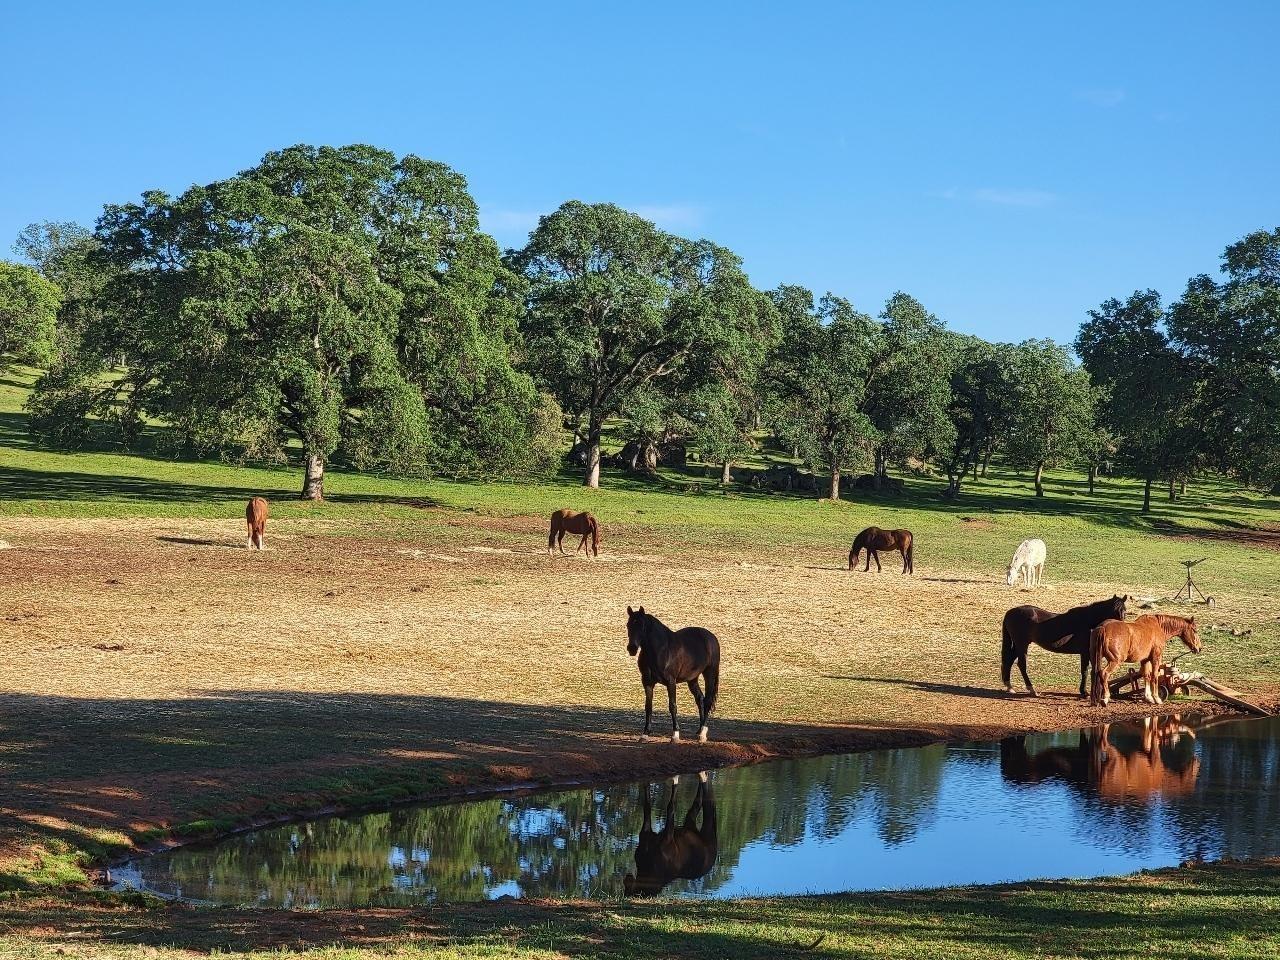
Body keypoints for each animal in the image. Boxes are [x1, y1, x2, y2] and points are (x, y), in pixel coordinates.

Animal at [622, 773, 721, 901]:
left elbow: (670, 807)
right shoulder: (647, 833)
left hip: (706, 829)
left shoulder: (668, 837)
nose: (626, 878)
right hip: (691, 822)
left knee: (705, 798)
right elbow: (648, 806)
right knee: (698, 801)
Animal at [627, 609, 721, 742]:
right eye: (628, 625)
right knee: (700, 699)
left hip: (710, 673)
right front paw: (645, 734)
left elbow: (672, 706)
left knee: (707, 701)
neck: (660, 650)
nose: (632, 648)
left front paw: (675, 734)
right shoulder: (647, 682)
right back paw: (699, 731)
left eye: (642, 626)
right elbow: (648, 707)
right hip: (692, 679)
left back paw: (702, 733)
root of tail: (711, 637)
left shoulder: (671, 682)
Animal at [998, 593, 1131, 701]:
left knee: (1009, 661)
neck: (1088, 622)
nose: (1121, 626)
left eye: (1125, 610)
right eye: (1114, 610)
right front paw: (1085, 693)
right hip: (1022, 645)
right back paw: (1032, 689)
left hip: (1019, 645)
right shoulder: (1085, 652)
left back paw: (1009, 687)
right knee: (1021, 665)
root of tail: (1010, 612)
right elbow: (1085, 671)